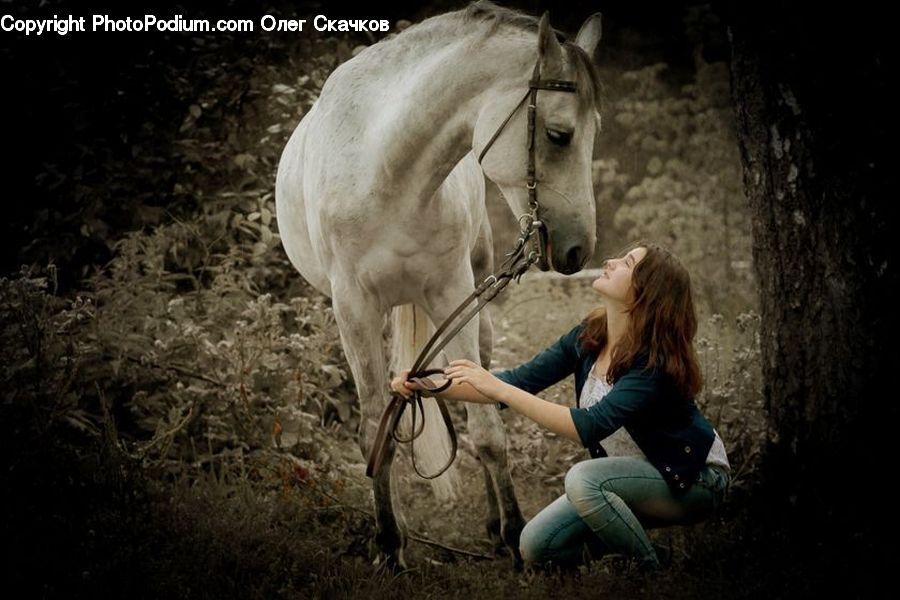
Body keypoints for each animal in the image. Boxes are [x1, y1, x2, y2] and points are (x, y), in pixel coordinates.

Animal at [275, 0, 603, 568]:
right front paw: (390, 546)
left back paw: (492, 526)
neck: (386, 172)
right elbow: (374, 431)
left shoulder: (453, 292)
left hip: (471, 311)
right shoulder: (353, 308)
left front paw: (513, 537)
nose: (578, 250)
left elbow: (486, 426)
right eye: (559, 135)